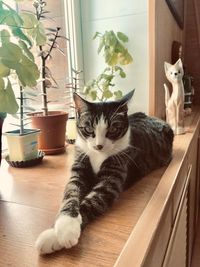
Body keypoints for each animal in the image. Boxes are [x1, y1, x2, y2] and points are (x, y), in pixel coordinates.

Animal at [34, 90, 173, 255]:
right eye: (89, 129)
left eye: (113, 129)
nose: (99, 146)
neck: (98, 155)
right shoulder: (80, 164)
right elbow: (71, 192)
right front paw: (63, 225)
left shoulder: (113, 174)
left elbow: (93, 200)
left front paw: (56, 236)